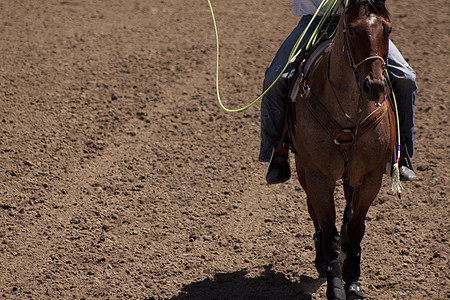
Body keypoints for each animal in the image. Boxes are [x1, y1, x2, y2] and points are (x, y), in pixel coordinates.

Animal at [292, 0, 394, 298]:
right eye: (352, 29)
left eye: (387, 29)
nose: (374, 85)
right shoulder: (317, 175)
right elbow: (329, 234)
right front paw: (335, 285)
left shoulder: (371, 176)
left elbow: (357, 227)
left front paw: (353, 281)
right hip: (303, 171)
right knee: (314, 213)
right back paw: (321, 260)